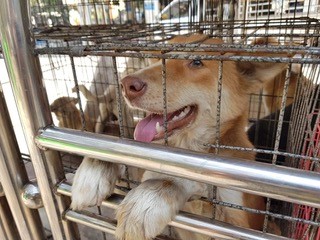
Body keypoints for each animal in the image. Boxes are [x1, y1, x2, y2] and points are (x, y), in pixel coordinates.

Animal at [70, 34, 290, 239]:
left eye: (197, 62)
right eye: (155, 58)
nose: (126, 85)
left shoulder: (235, 225)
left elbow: (194, 175)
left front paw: (155, 191)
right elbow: (125, 150)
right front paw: (96, 165)